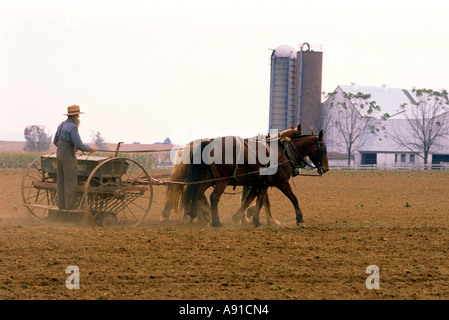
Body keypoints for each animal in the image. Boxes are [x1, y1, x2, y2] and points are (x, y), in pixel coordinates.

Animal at [183, 124, 328, 228]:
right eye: (323, 147)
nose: (326, 168)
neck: (283, 152)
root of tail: (211, 143)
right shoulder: (281, 182)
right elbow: (293, 198)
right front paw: (300, 220)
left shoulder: (261, 184)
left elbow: (257, 200)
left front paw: (253, 220)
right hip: (222, 180)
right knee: (214, 197)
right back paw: (216, 222)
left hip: (209, 178)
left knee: (197, 193)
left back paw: (193, 214)